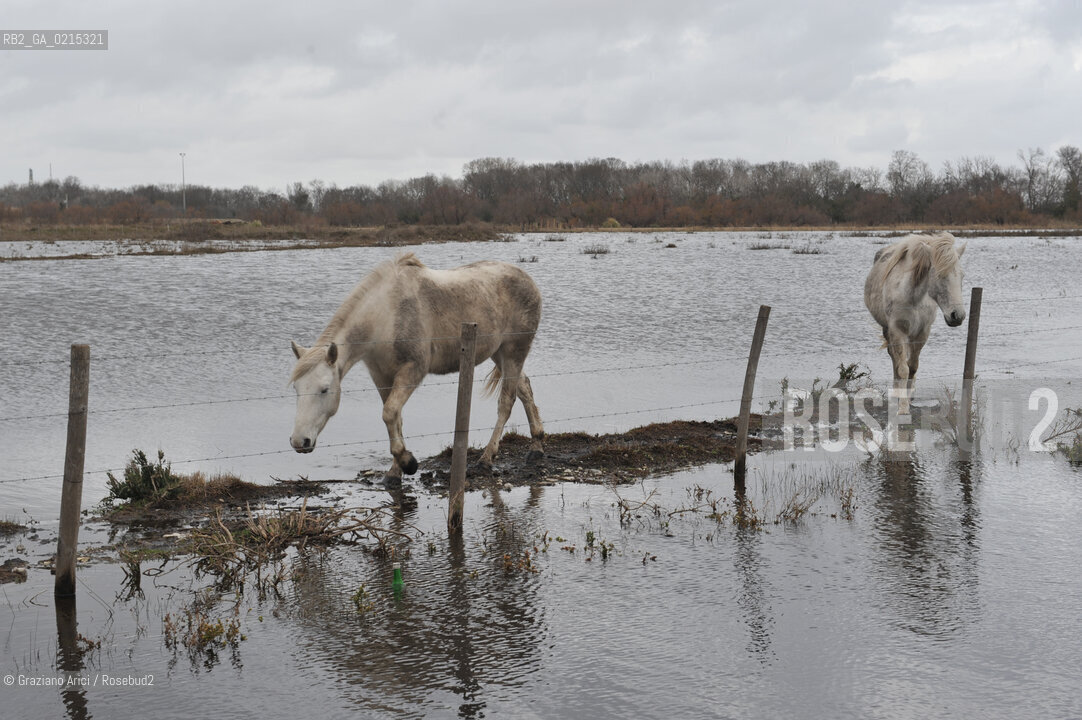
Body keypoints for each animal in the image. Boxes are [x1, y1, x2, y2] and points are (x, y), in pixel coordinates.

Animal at [289, 252, 545, 484]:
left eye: (324, 389)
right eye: (296, 390)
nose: (299, 442)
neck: (385, 316)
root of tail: (528, 279)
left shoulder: (412, 370)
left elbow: (389, 413)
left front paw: (408, 462)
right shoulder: (382, 376)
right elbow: (395, 418)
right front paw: (395, 472)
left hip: (513, 351)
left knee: (506, 402)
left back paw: (486, 459)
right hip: (498, 354)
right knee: (525, 388)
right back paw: (537, 447)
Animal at [864, 231, 967, 415]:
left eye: (961, 276)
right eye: (940, 275)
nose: (957, 316)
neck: (913, 297)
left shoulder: (922, 332)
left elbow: (912, 366)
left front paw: (909, 397)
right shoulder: (897, 331)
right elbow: (903, 369)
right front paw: (903, 407)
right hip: (888, 330)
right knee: (894, 359)